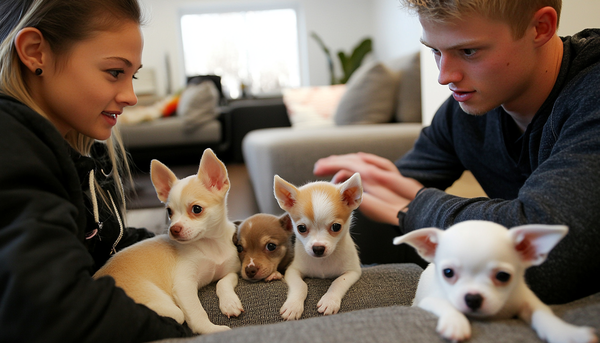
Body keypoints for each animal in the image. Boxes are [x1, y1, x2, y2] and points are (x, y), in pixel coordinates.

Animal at [93, 149, 241, 334]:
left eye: (196, 209)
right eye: (169, 212)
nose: (174, 229)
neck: (210, 245)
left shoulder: (232, 270)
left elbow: (223, 282)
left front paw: (230, 303)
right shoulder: (184, 286)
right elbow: (197, 313)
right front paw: (212, 329)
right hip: (170, 309)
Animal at [274, 173, 364, 322]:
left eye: (336, 227)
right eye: (301, 228)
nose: (318, 248)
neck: (322, 262)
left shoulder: (353, 272)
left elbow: (338, 282)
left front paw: (329, 301)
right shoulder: (292, 270)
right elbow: (301, 285)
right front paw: (293, 306)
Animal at [394, 222, 596, 342]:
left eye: (503, 276)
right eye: (448, 273)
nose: (473, 298)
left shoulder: (527, 300)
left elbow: (543, 313)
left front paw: (565, 332)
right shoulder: (432, 299)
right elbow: (446, 305)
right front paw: (455, 322)